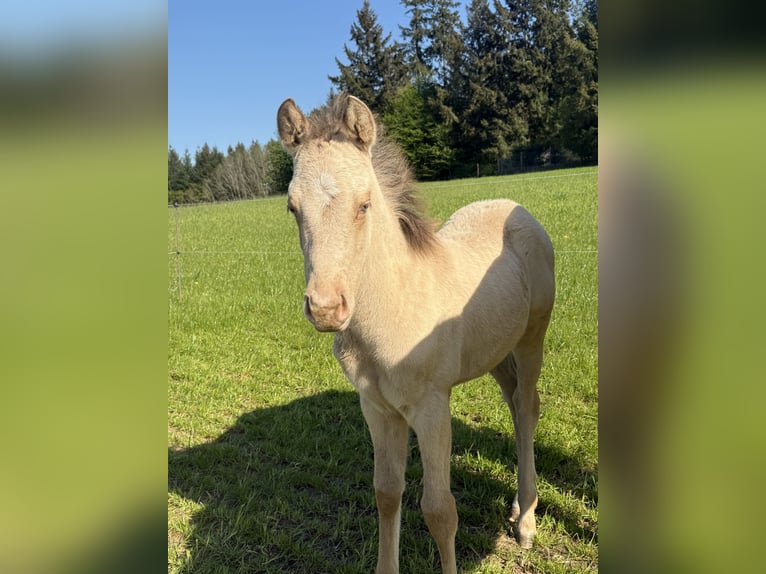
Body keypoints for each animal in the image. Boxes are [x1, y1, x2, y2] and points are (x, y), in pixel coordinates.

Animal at [277, 94, 555, 574]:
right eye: (293, 208)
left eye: (364, 204)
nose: (327, 308)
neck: (394, 308)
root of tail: (516, 207)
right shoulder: (377, 408)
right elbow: (387, 494)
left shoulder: (431, 406)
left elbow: (440, 510)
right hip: (496, 352)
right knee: (515, 403)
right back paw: (520, 508)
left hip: (531, 339)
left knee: (526, 408)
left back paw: (526, 523)